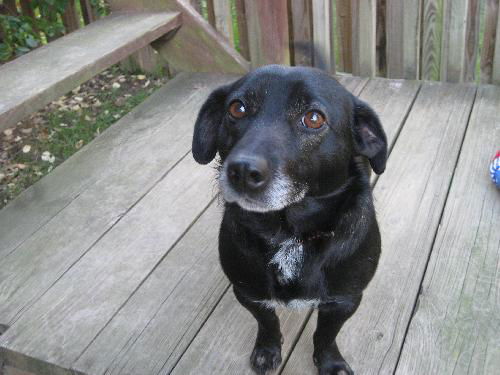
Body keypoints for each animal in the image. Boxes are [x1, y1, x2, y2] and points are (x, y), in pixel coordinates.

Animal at [191, 66, 386, 374]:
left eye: (314, 118)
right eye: (237, 108)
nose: (242, 171)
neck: (288, 233)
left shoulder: (344, 300)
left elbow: (325, 334)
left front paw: (330, 363)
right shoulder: (249, 293)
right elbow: (268, 322)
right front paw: (267, 350)